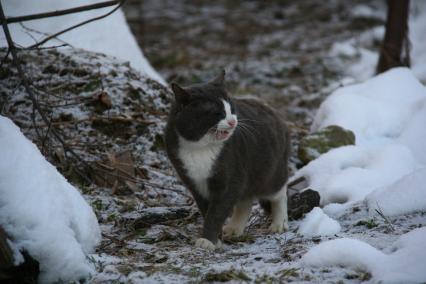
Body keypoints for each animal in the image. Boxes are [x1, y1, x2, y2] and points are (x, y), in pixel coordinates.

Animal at [165, 71, 292, 251]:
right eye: (216, 112)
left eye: (231, 108)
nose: (233, 121)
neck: (200, 149)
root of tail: (275, 113)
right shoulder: (194, 182)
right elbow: (207, 210)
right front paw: (216, 240)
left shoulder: (229, 175)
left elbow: (217, 211)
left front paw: (208, 240)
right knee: (245, 200)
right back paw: (234, 228)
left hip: (270, 169)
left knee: (278, 192)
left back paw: (279, 222)